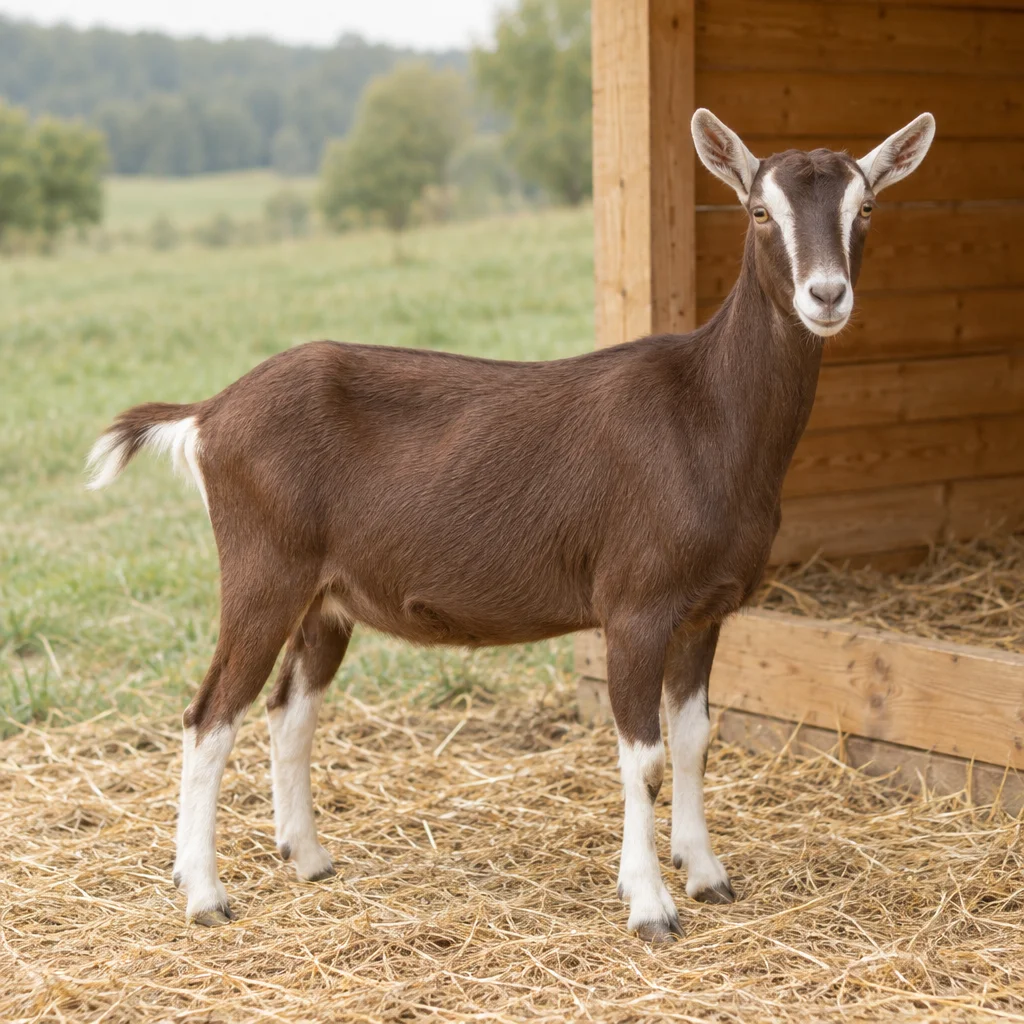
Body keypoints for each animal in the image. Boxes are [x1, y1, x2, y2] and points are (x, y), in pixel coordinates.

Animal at [87, 109, 934, 940]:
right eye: (759, 211)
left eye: (866, 207)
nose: (826, 295)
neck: (708, 413)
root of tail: (209, 415)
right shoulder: (634, 605)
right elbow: (645, 759)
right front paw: (650, 905)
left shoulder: (706, 610)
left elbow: (694, 741)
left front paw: (707, 875)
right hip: (263, 570)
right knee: (210, 715)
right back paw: (204, 893)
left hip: (325, 598)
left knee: (289, 709)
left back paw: (309, 857)